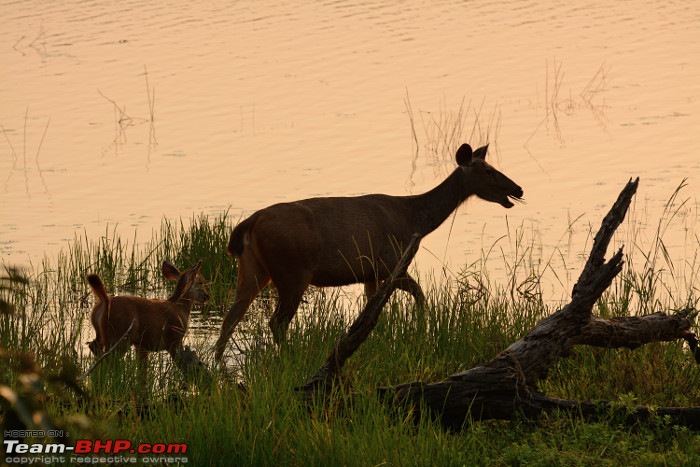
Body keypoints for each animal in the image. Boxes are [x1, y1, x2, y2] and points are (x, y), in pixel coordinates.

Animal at [216, 144, 524, 364]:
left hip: (253, 269)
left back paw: (216, 365)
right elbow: (420, 295)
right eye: (488, 171)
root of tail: (249, 224)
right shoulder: (392, 264)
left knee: (231, 317)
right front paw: (422, 331)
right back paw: (287, 359)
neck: (415, 221)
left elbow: (374, 311)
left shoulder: (371, 274)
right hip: (292, 271)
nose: (518, 188)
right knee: (276, 322)